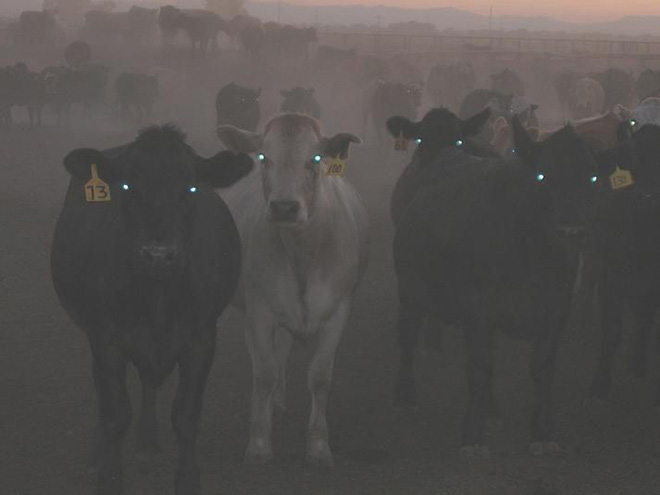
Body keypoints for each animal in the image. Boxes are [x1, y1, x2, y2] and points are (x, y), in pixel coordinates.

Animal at [50, 124, 253, 495]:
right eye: (128, 187)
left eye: (190, 188)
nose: (158, 255)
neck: (158, 298)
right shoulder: (106, 338)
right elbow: (115, 413)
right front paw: (109, 476)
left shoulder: (201, 339)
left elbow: (186, 415)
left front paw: (187, 479)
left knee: (148, 381)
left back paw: (147, 442)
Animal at [218, 113, 368, 468]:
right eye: (264, 157)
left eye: (314, 159)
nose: (284, 207)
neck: (302, 253)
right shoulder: (260, 309)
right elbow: (264, 372)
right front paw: (259, 443)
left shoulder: (339, 310)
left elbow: (320, 377)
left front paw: (319, 446)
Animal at [390, 108, 600, 458]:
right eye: (542, 176)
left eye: (592, 177)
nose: (572, 230)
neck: (533, 253)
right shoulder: (476, 308)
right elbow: (479, 366)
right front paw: (472, 435)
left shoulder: (557, 309)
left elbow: (543, 368)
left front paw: (542, 431)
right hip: (408, 289)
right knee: (406, 338)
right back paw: (406, 398)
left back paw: (491, 408)